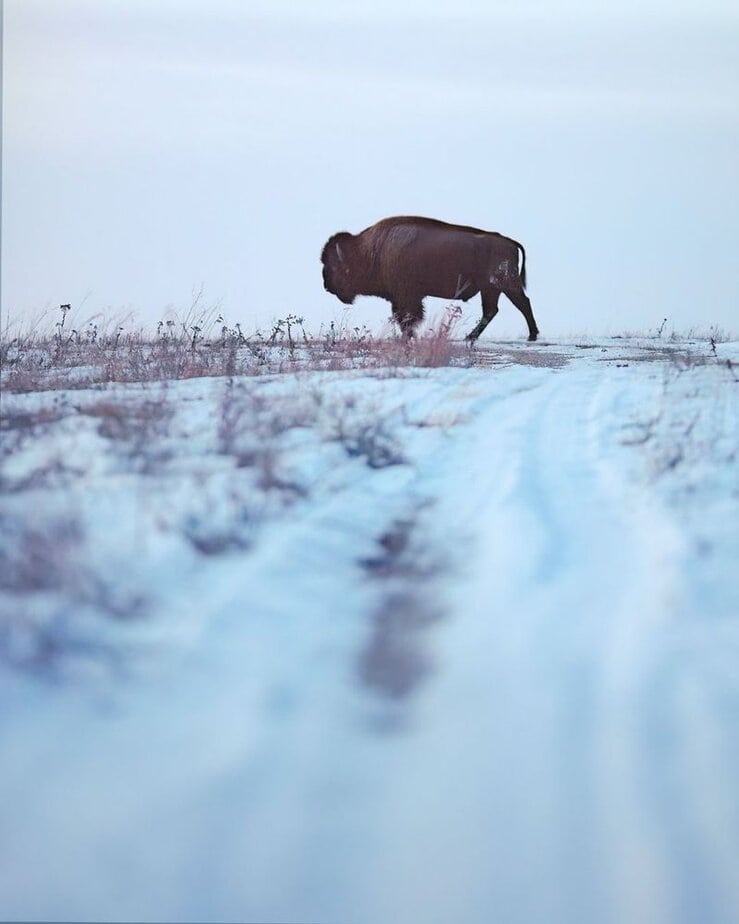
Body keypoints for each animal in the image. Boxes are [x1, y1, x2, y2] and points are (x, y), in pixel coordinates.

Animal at [321, 216, 539, 341]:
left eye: (334, 266)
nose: (326, 286)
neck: (370, 252)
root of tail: (509, 242)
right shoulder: (400, 298)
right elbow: (402, 318)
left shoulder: (407, 297)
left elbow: (408, 318)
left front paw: (408, 337)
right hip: (490, 289)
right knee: (491, 311)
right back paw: (470, 337)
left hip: (505, 285)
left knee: (523, 304)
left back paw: (532, 336)